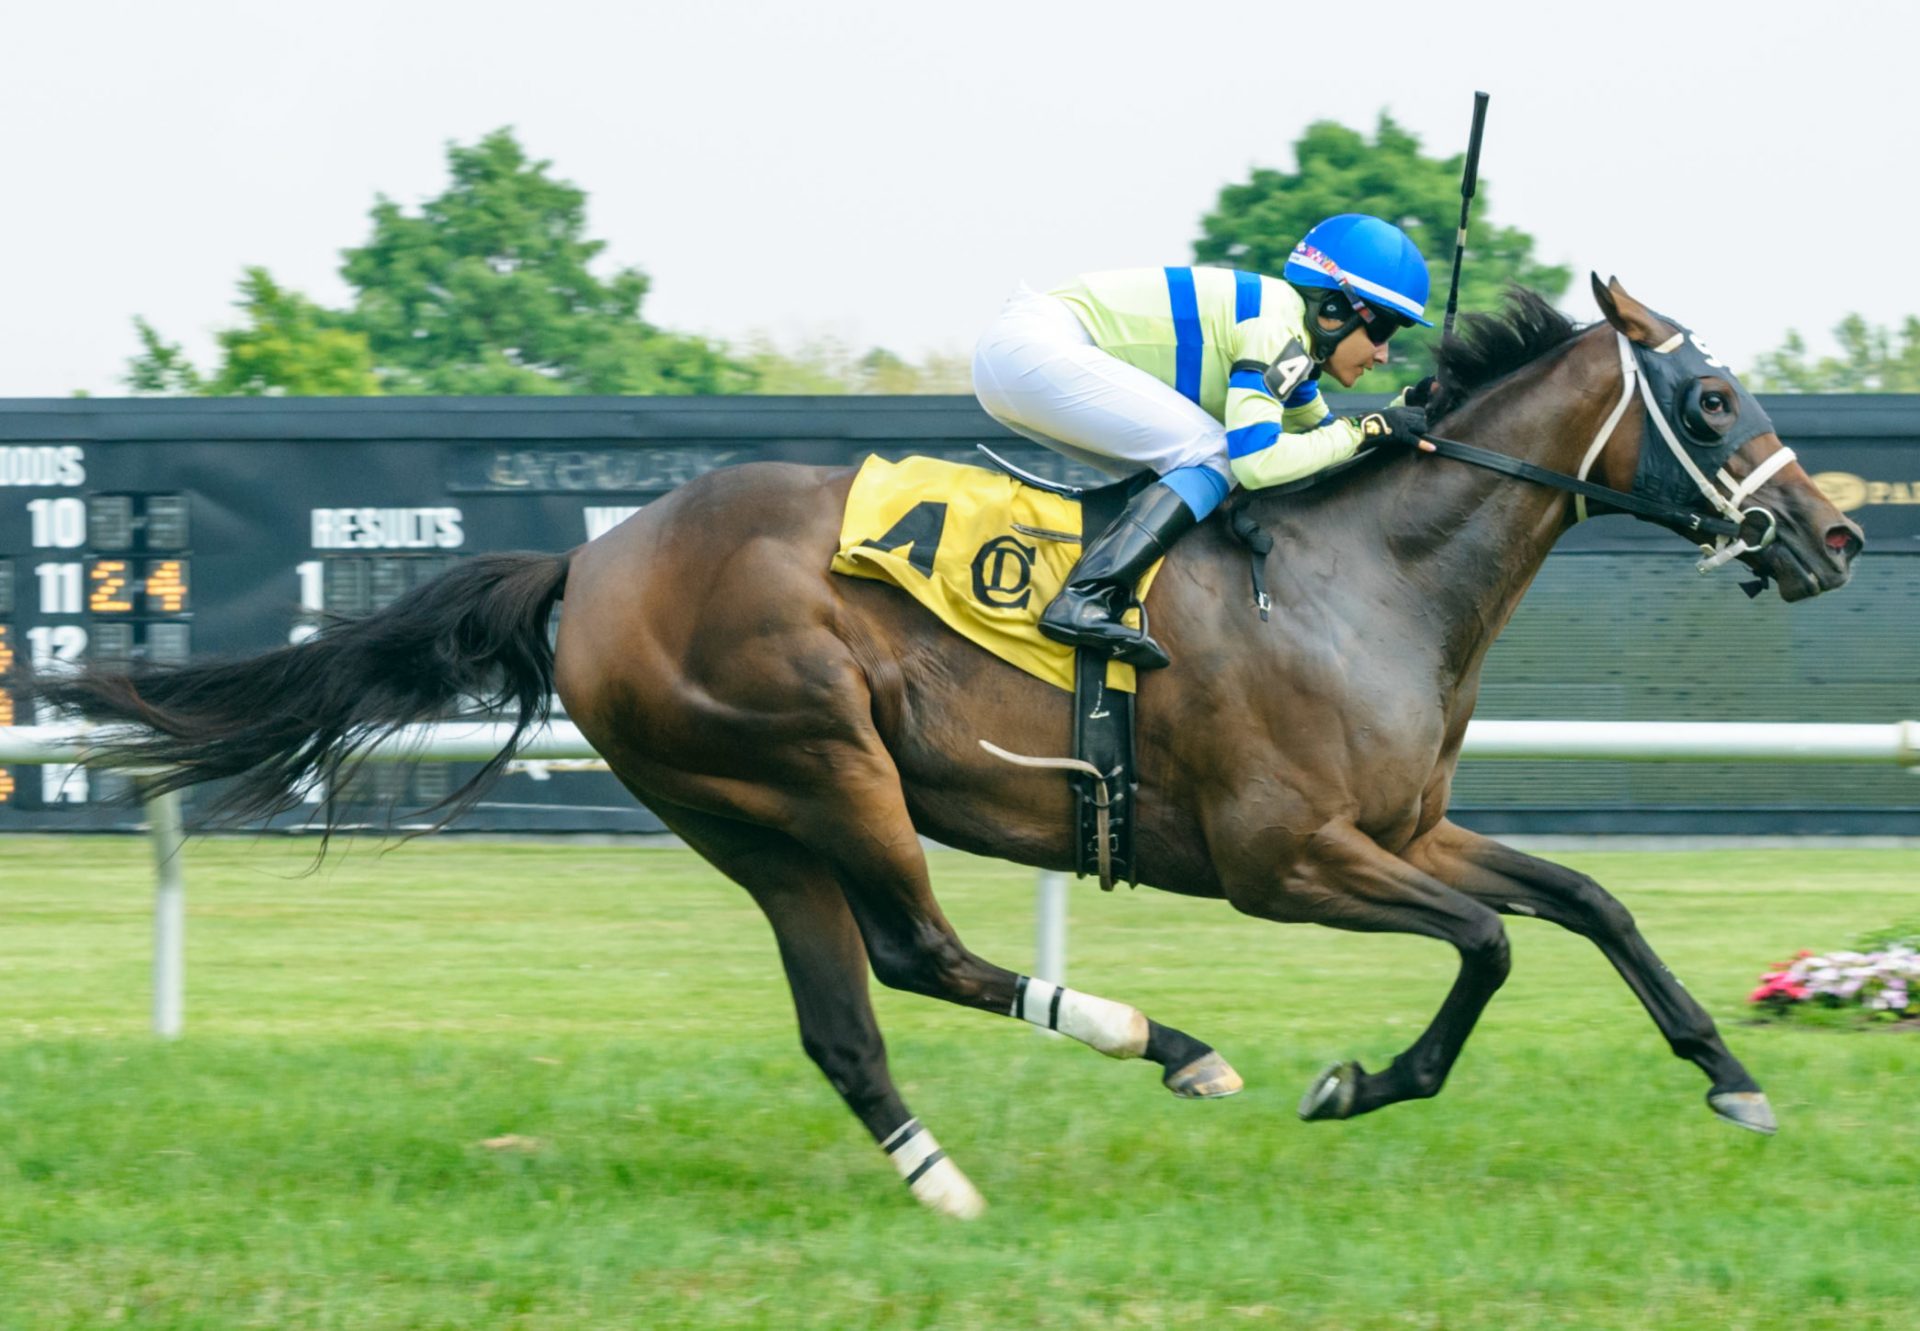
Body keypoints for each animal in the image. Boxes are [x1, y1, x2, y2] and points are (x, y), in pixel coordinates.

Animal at [41, 278, 1858, 1213]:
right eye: (1712, 403)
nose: (1831, 535)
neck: (1364, 577)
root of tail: (589, 561)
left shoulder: (1401, 830)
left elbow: (1590, 902)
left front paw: (1734, 1076)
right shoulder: (1289, 862)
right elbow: (1489, 946)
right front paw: (1359, 1078)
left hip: (747, 814)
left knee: (852, 1013)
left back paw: (950, 1181)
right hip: (814, 756)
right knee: (917, 950)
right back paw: (1164, 1040)